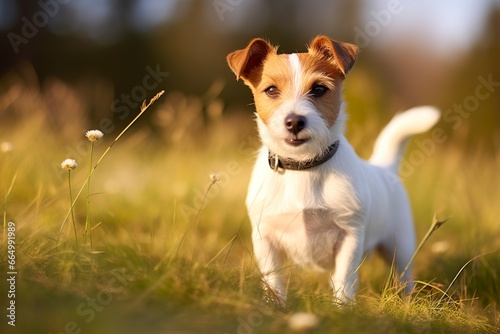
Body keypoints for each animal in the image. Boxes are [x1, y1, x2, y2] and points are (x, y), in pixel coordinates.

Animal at [225, 36, 440, 306]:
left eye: (318, 89)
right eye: (271, 90)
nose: (294, 122)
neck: (303, 168)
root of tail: (384, 167)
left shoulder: (349, 236)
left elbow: (344, 280)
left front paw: (341, 309)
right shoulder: (265, 238)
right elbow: (273, 281)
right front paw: (274, 306)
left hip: (400, 246)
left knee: (404, 277)